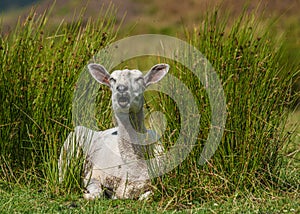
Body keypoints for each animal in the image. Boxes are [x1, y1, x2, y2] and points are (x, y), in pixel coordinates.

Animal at [58, 62, 169, 200]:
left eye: (139, 78)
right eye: (112, 79)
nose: (121, 89)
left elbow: (148, 195)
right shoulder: (93, 175)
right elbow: (97, 193)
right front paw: (88, 194)